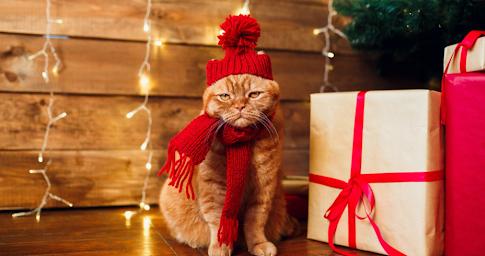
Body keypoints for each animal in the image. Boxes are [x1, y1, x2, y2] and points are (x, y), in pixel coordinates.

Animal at [159, 73, 298, 255]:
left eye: (254, 94)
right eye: (225, 96)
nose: (239, 106)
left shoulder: (264, 186)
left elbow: (256, 221)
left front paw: (258, 243)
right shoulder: (213, 186)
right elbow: (218, 220)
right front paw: (220, 247)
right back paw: (194, 242)